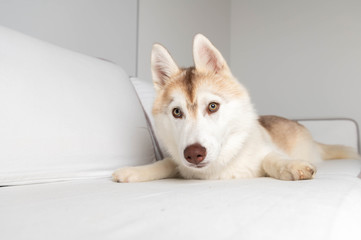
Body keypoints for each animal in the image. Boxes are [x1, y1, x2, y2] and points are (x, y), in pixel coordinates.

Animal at [112, 33, 358, 183]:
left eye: (212, 106)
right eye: (176, 112)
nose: (194, 154)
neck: (221, 167)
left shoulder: (265, 152)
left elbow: (270, 158)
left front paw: (289, 165)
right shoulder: (181, 163)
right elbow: (167, 162)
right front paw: (136, 171)